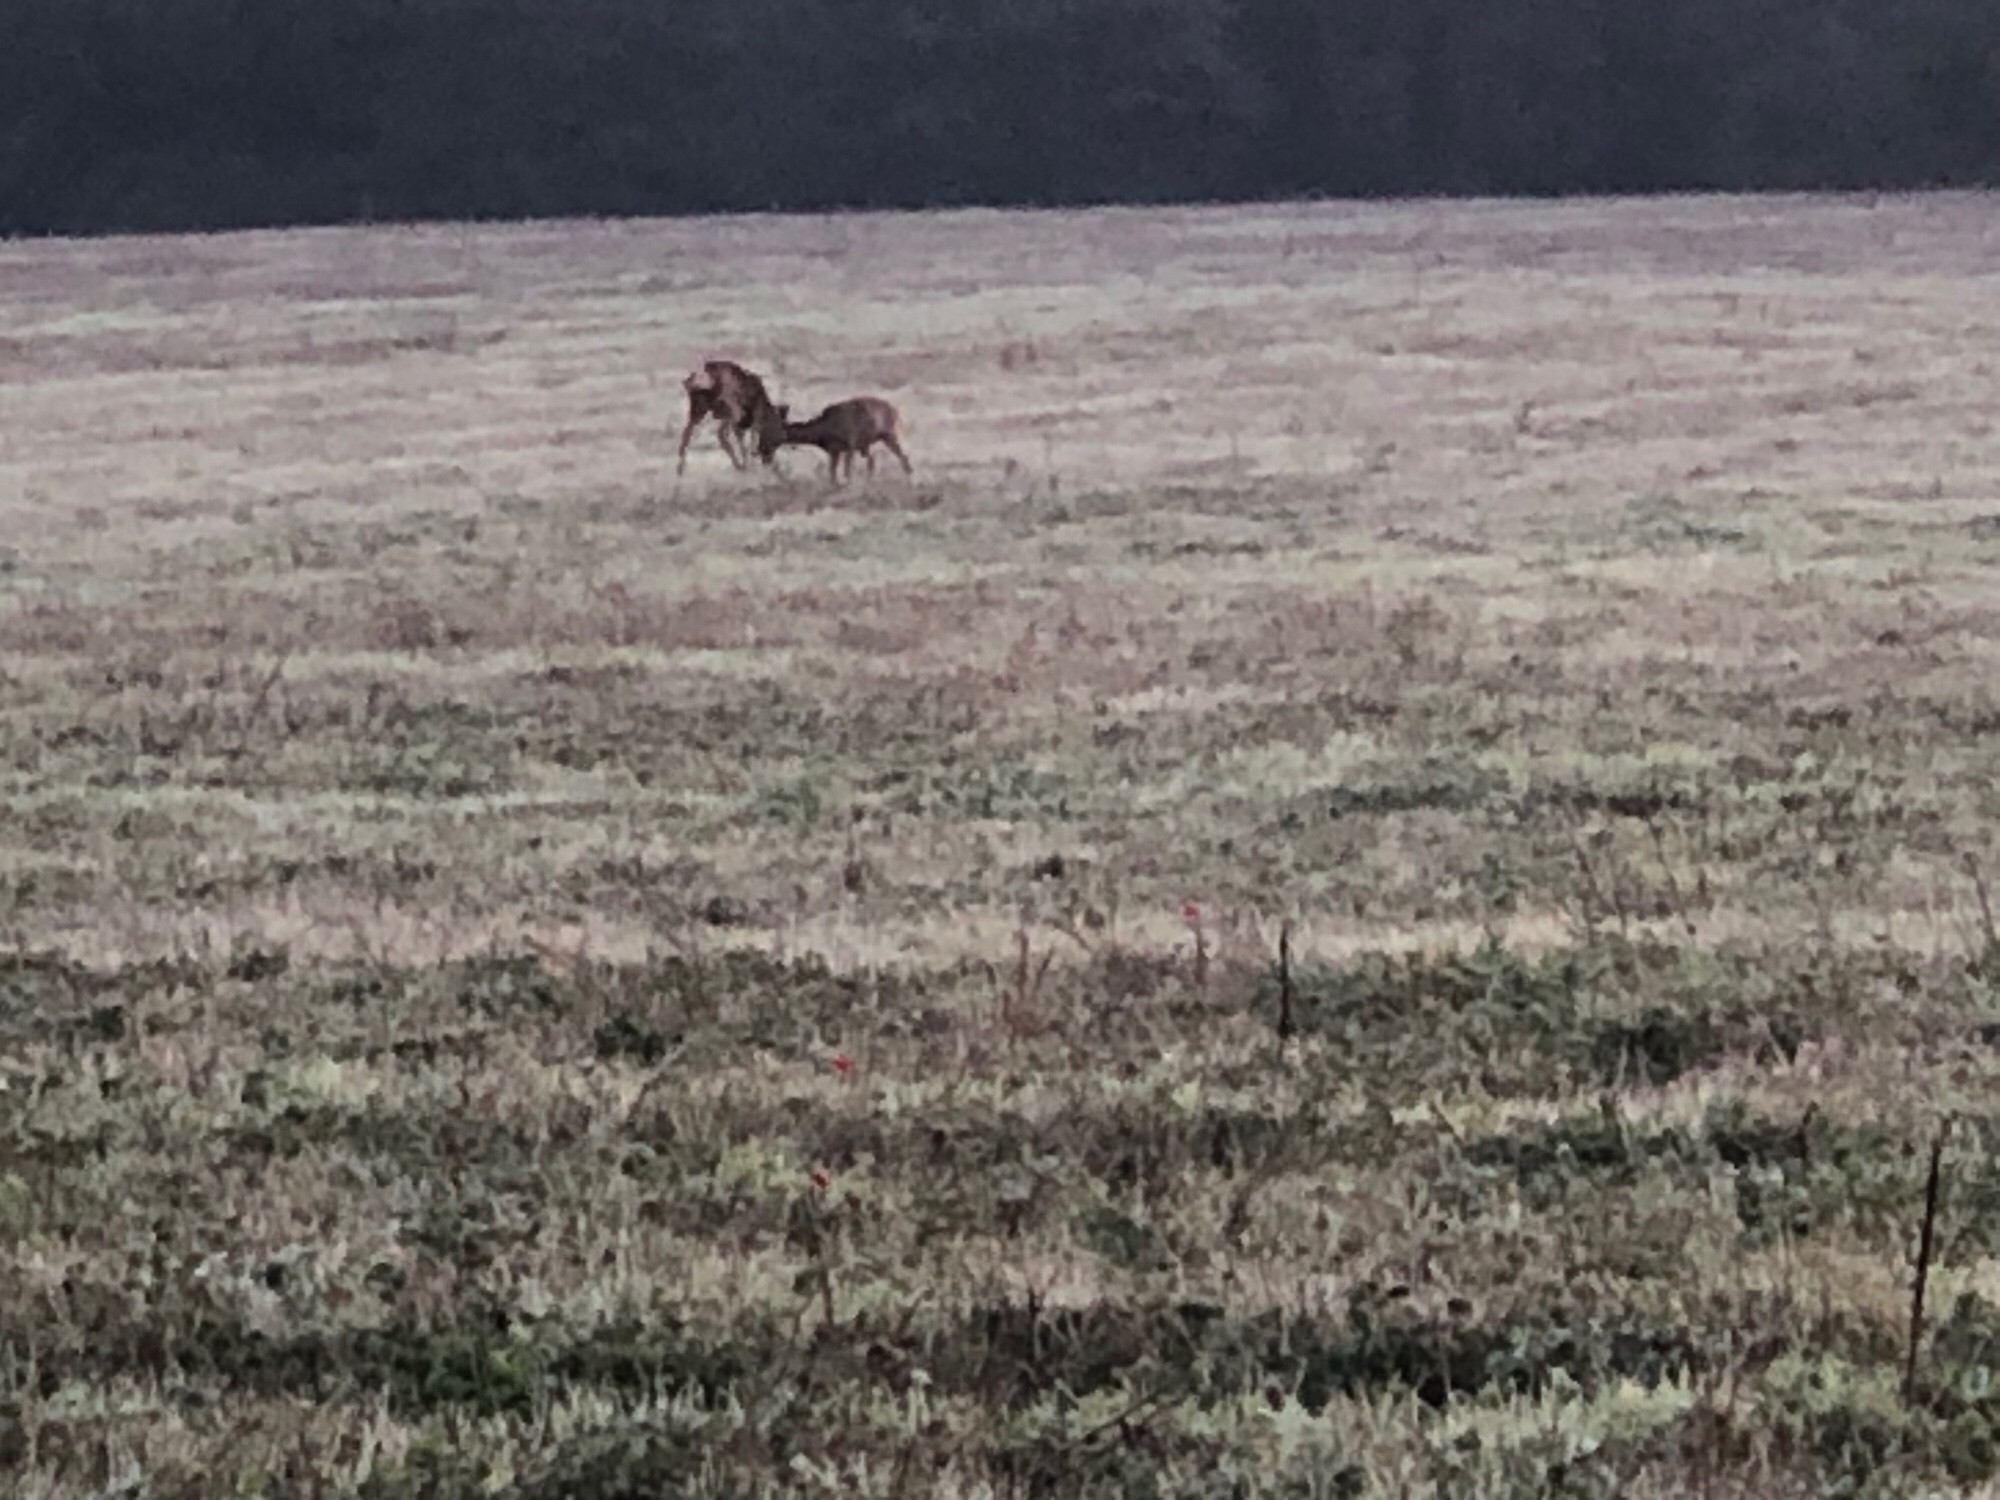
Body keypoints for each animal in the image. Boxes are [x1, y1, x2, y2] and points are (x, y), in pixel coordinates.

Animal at [764, 396, 916, 484]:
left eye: (773, 432)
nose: (765, 453)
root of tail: (896, 412)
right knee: (874, 462)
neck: (822, 433)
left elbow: (845, 472)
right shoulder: (836, 450)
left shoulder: (849, 445)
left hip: (890, 435)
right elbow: (833, 474)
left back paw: (910, 479)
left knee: (903, 458)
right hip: (868, 444)